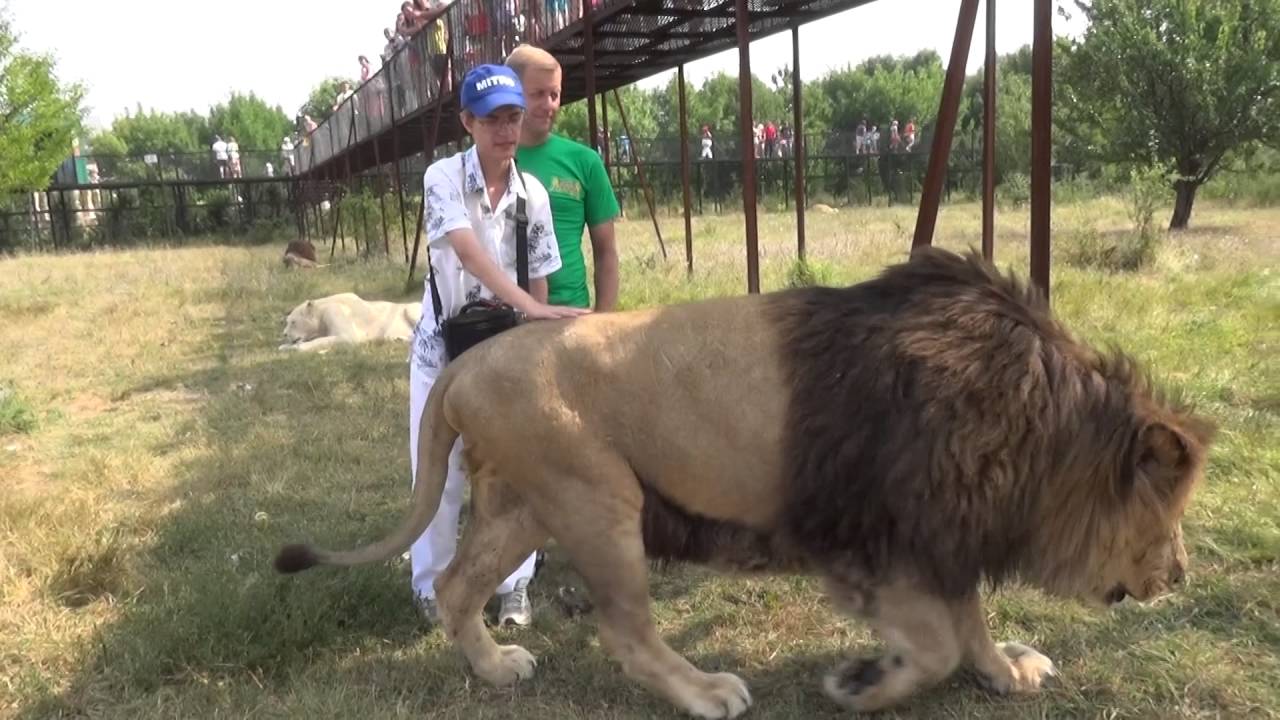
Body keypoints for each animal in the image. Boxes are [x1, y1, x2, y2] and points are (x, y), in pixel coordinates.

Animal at [277, 288, 422, 351]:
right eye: (287, 321)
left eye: (293, 322)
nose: (284, 334)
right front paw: (283, 346)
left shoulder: (346, 331)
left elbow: (322, 340)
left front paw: (297, 347)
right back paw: (396, 339)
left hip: (411, 309)